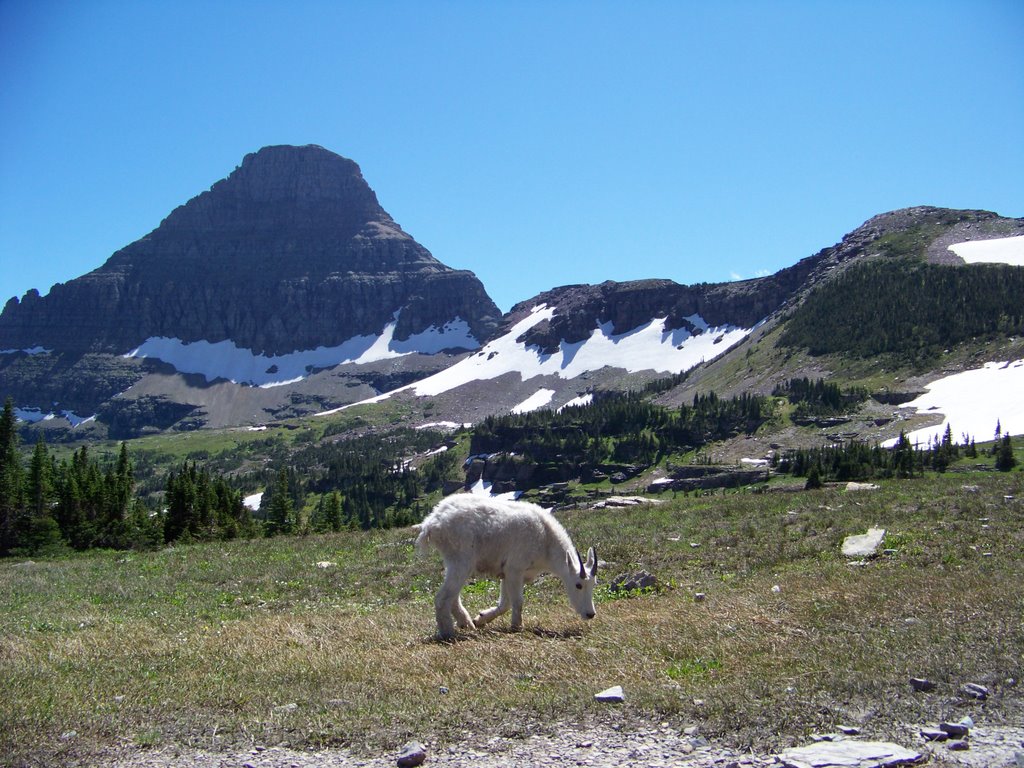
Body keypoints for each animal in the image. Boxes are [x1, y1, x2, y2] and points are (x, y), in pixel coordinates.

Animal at [413, 495, 598, 638]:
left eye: (593, 584)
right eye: (578, 585)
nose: (590, 614)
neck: (546, 540)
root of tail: (431, 523)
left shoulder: (508, 573)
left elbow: (505, 604)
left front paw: (481, 618)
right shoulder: (515, 568)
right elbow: (517, 601)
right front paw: (517, 627)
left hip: (454, 561)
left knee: (453, 596)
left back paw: (467, 624)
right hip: (461, 560)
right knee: (443, 597)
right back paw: (448, 633)